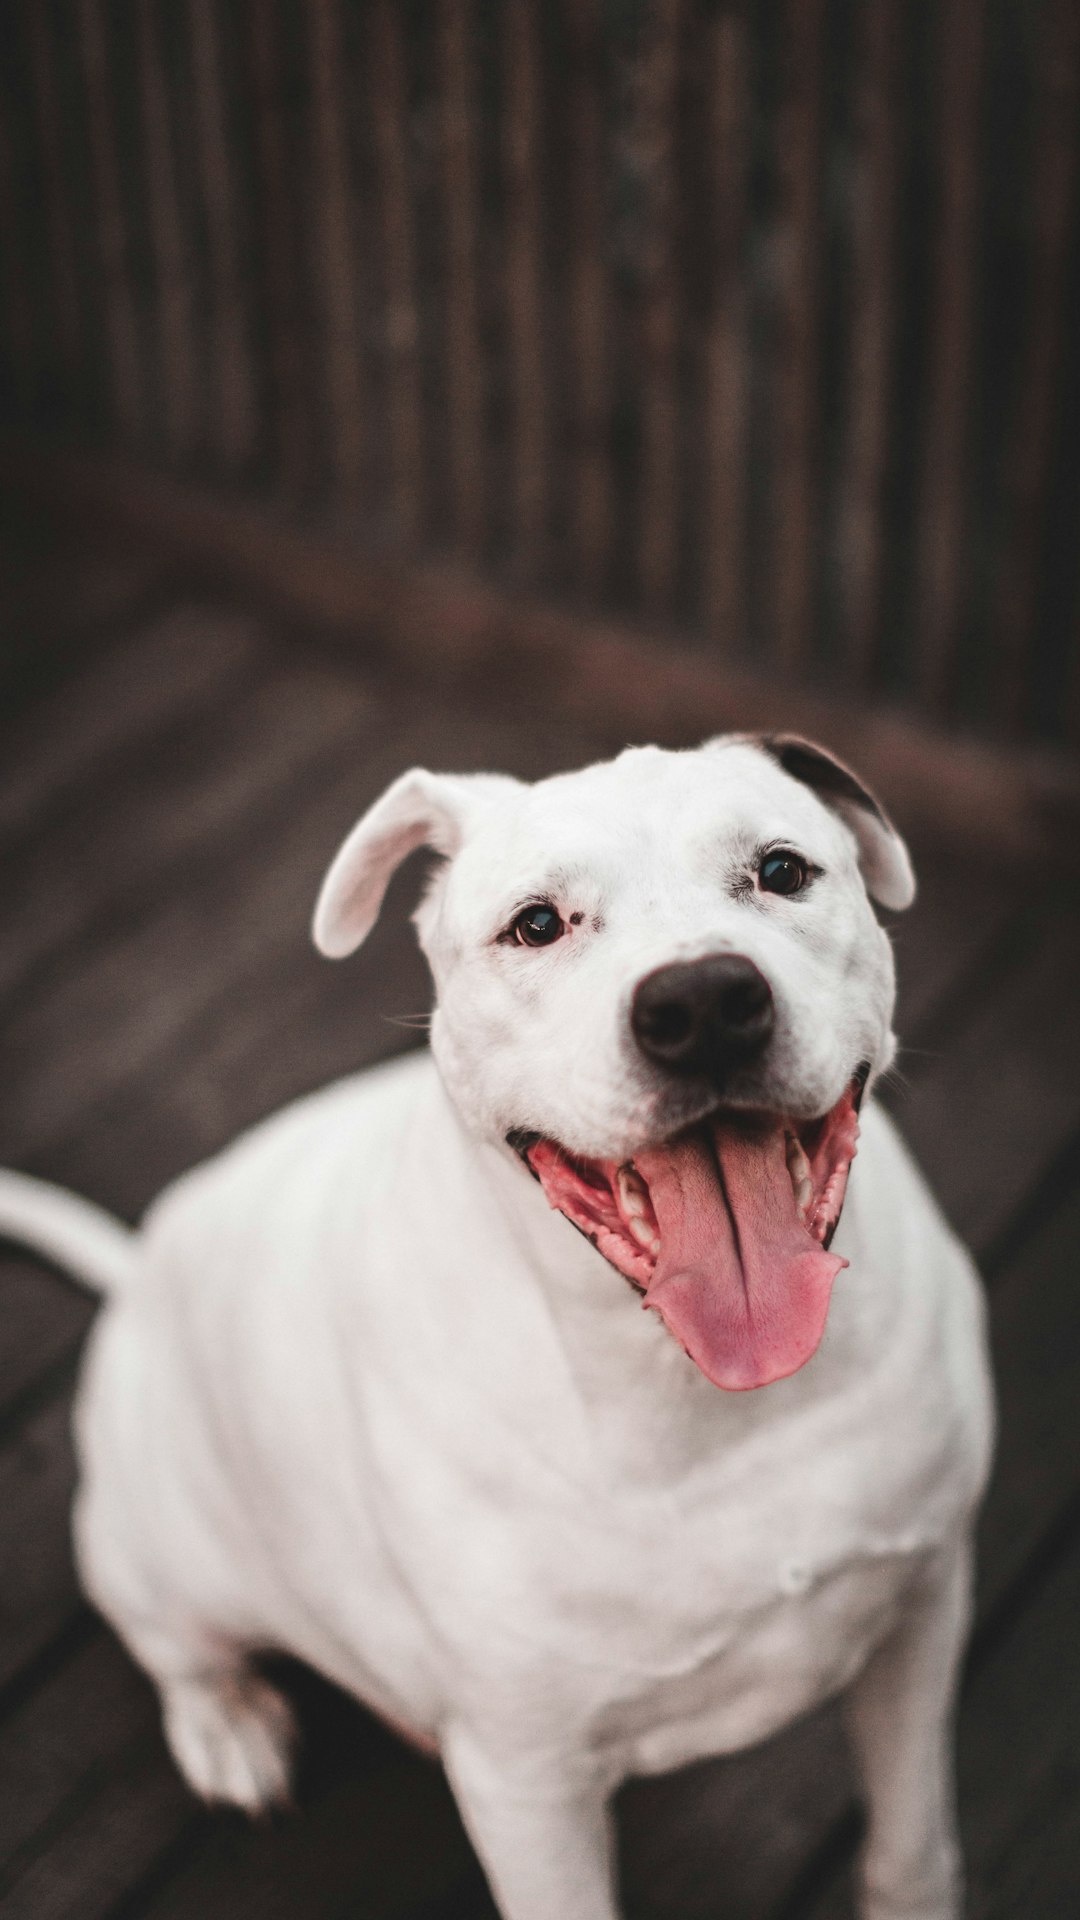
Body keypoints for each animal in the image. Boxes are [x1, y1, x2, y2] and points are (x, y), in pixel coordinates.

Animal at [2, 733, 991, 1920]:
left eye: (784, 871)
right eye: (536, 924)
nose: (703, 1002)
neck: (702, 1398)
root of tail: (138, 1268)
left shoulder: (923, 1611)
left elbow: (912, 1844)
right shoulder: (529, 1779)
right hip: (154, 1551)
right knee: (175, 1646)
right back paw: (226, 1724)